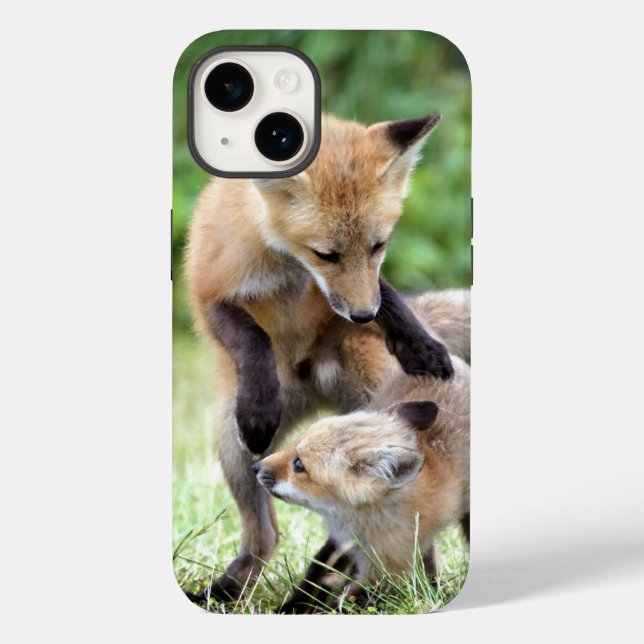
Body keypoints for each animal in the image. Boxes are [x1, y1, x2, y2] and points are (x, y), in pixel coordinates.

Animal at [253, 355, 470, 613]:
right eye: (292, 444)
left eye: (298, 465)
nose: (255, 466)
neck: (360, 520)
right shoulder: (342, 541)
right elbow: (316, 573)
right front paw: (293, 606)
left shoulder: (387, 567)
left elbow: (351, 602)